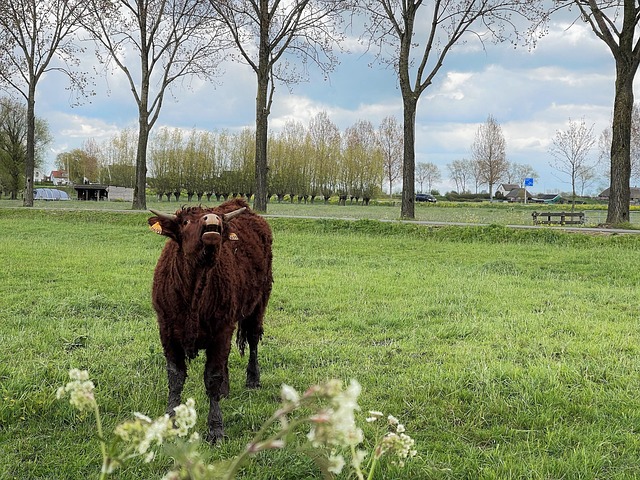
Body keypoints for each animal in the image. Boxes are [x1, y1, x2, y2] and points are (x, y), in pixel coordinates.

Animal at [147, 198, 273, 442]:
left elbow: (212, 377)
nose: (213, 220)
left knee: (253, 339)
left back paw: (253, 379)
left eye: (222, 225)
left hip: (259, 302)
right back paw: (226, 390)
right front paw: (171, 418)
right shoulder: (167, 330)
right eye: (185, 222)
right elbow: (175, 377)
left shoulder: (221, 330)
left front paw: (215, 428)